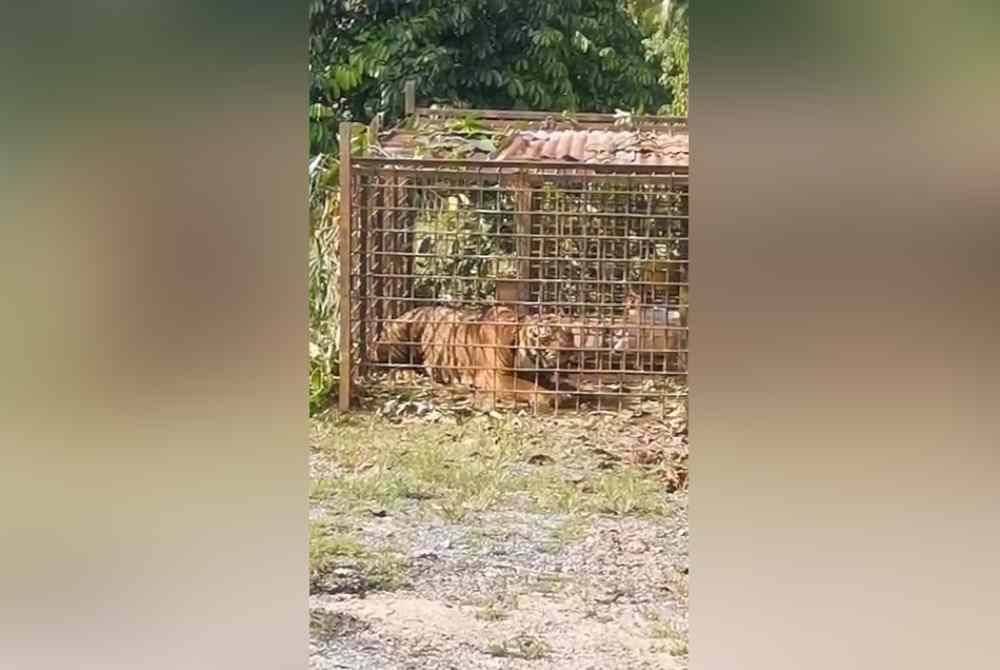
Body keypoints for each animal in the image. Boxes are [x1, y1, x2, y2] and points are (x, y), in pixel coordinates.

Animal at [374, 304, 580, 410]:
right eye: (547, 338)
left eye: (569, 336)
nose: (568, 352)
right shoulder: (496, 377)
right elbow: (529, 386)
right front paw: (555, 397)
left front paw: (568, 389)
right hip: (402, 329)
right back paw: (405, 373)